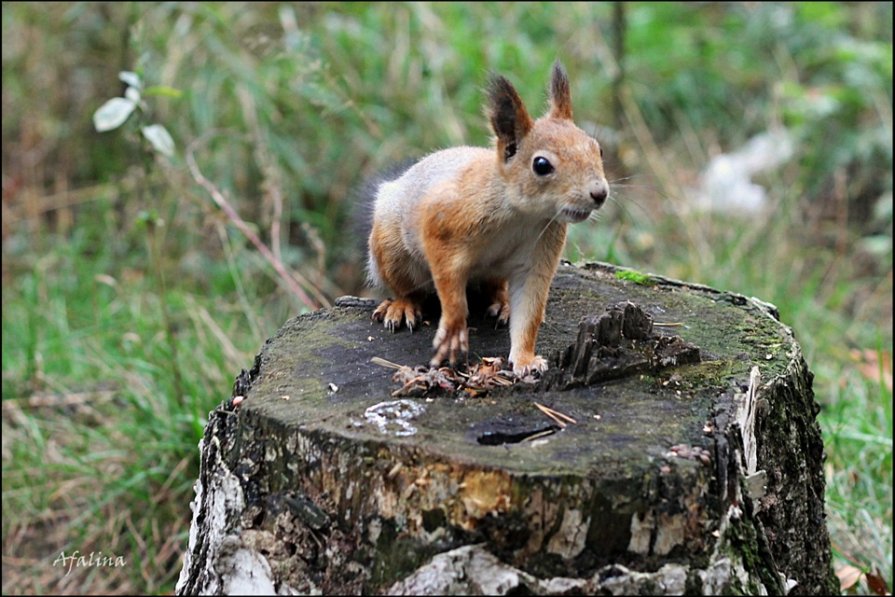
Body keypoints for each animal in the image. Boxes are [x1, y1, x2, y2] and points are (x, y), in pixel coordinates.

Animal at [364, 61, 608, 378]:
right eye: (541, 165)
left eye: (597, 148)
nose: (599, 193)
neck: (522, 215)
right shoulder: (445, 224)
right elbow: (451, 291)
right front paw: (453, 333)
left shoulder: (541, 251)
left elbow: (530, 310)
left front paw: (526, 359)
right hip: (390, 250)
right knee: (405, 286)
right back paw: (402, 306)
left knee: (495, 286)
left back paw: (503, 302)